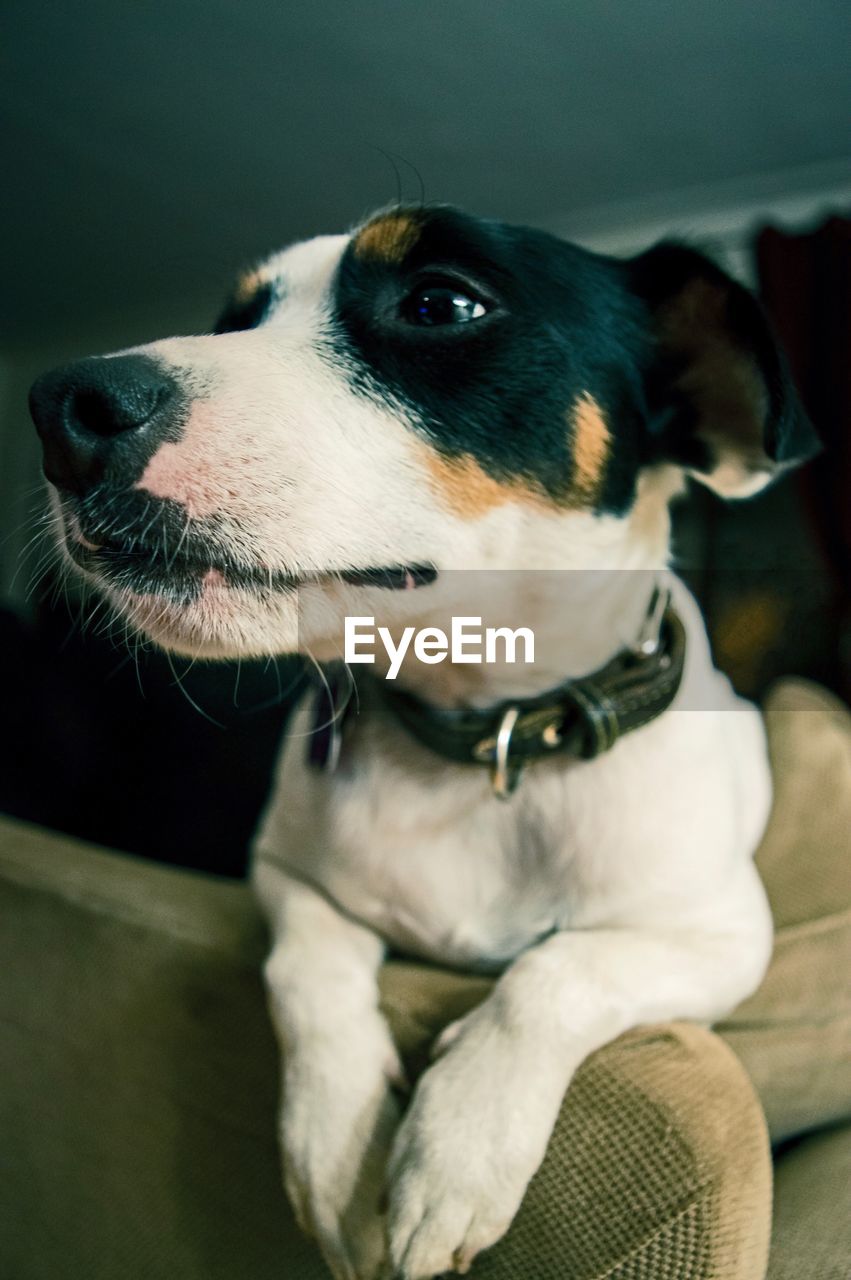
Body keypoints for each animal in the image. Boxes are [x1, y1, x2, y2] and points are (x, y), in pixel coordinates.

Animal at [28, 204, 819, 1274]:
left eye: (439, 303)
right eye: (237, 318)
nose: (63, 406)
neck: (484, 739)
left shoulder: (723, 936)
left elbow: (556, 973)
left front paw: (459, 1149)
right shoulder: (285, 877)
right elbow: (305, 972)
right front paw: (335, 1152)